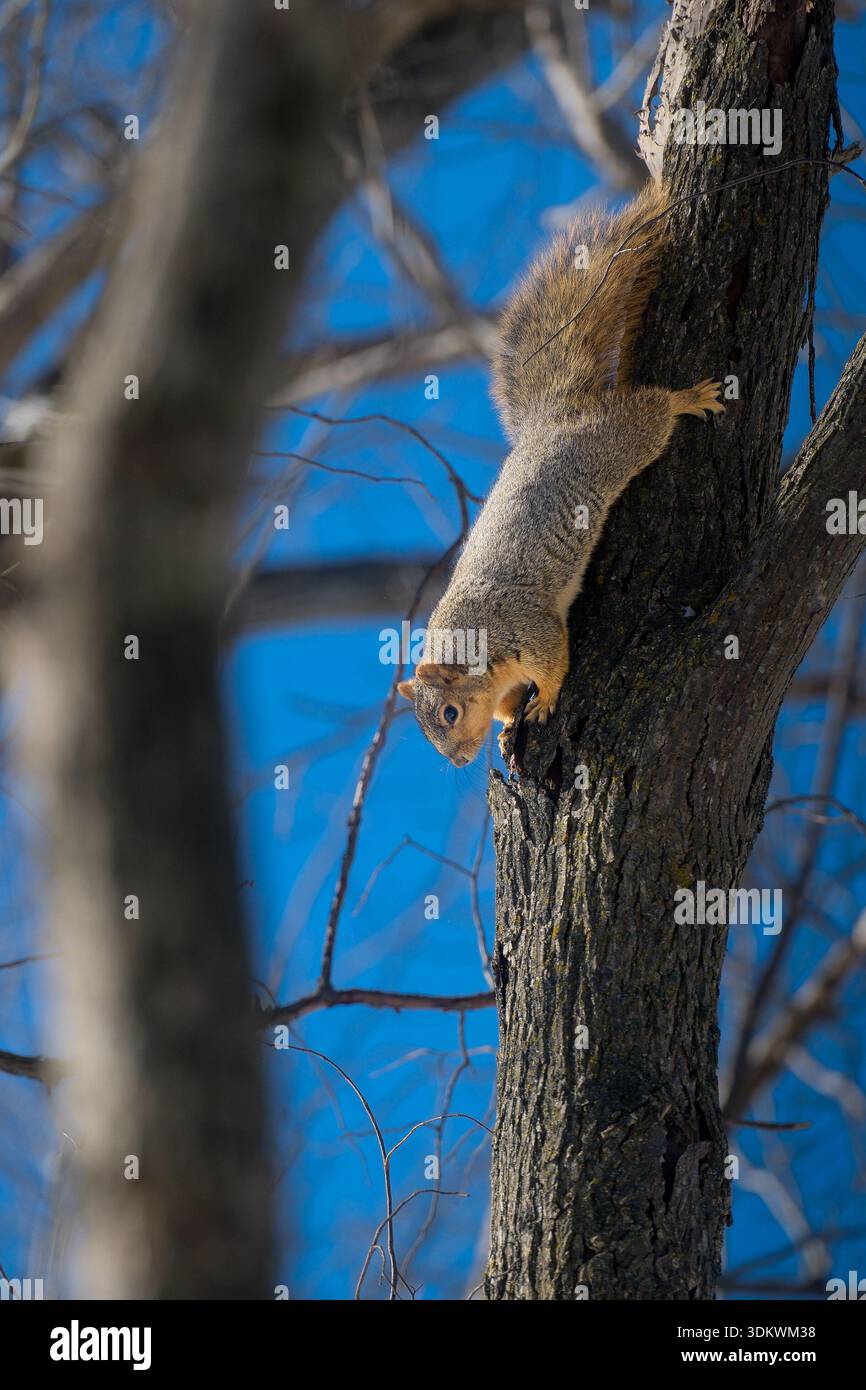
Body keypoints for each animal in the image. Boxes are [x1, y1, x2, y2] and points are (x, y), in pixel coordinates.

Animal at [398, 180, 723, 766]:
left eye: (450, 713)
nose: (458, 761)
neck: (475, 639)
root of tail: (552, 419)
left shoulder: (528, 629)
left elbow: (553, 662)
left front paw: (546, 702)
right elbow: (507, 703)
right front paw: (508, 725)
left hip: (616, 442)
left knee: (651, 415)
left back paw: (686, 399)